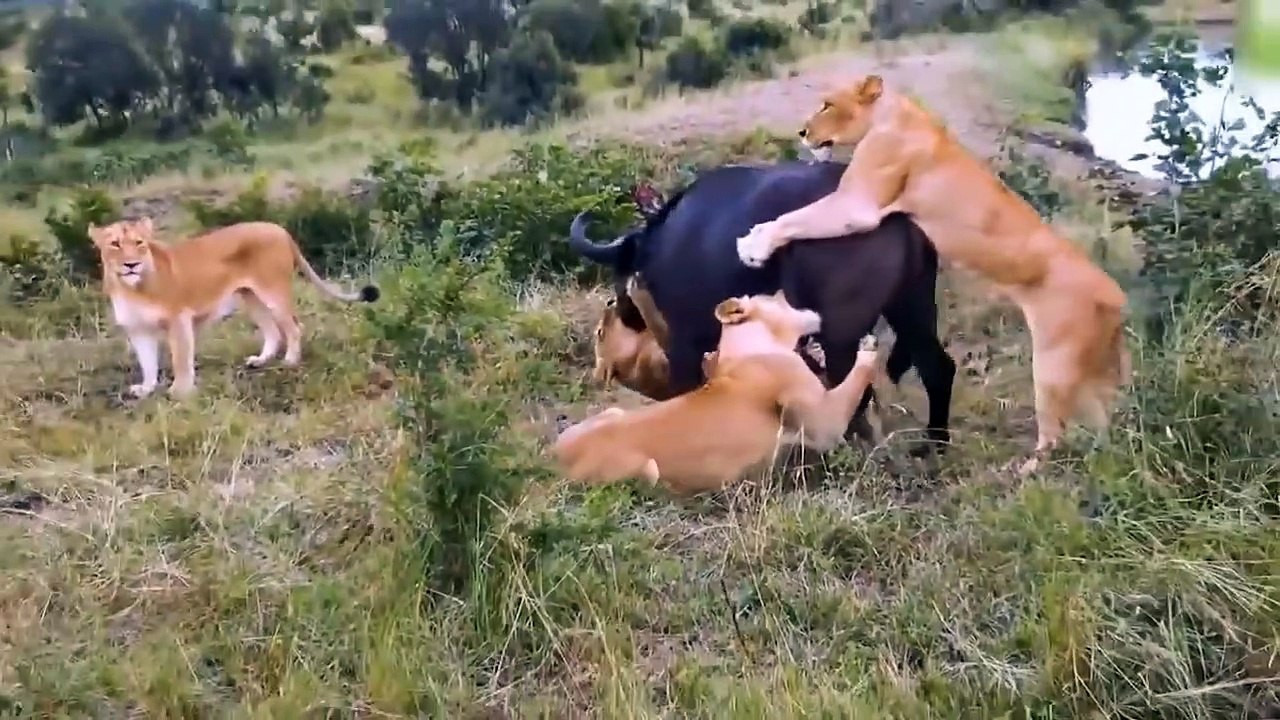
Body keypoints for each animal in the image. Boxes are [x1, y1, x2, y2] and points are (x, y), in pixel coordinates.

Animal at [88, 217, 379, 399]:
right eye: (115, 244)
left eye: (139, 243)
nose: (131, 265)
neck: (130, 288)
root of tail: (279, 229)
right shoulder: (138, 330)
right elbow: (147, 363)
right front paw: (146, 389)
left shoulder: (178, 319)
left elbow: (180, 359)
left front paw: (180, 391)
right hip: (250, 297)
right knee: (272, 330)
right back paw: (260, 360)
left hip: (272, 291)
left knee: (294, 326)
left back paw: (290, 361)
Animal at [553, 291, 880, 495]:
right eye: (775, 296)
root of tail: (551, 457)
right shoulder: (825, 425)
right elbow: (857, 374)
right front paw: (869, 346)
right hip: (647, 471)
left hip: (612, 412)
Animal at [733, 75, 1130, 473]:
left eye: (828, 104)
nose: (802, 132)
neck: (892, 113)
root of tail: (1114, 293)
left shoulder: (858, 205)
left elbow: (795, 217)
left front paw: (753, 243)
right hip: (1092, 365)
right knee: (1101, 421)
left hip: (1053, 364)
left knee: (1054, 431)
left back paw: (1023, 471)